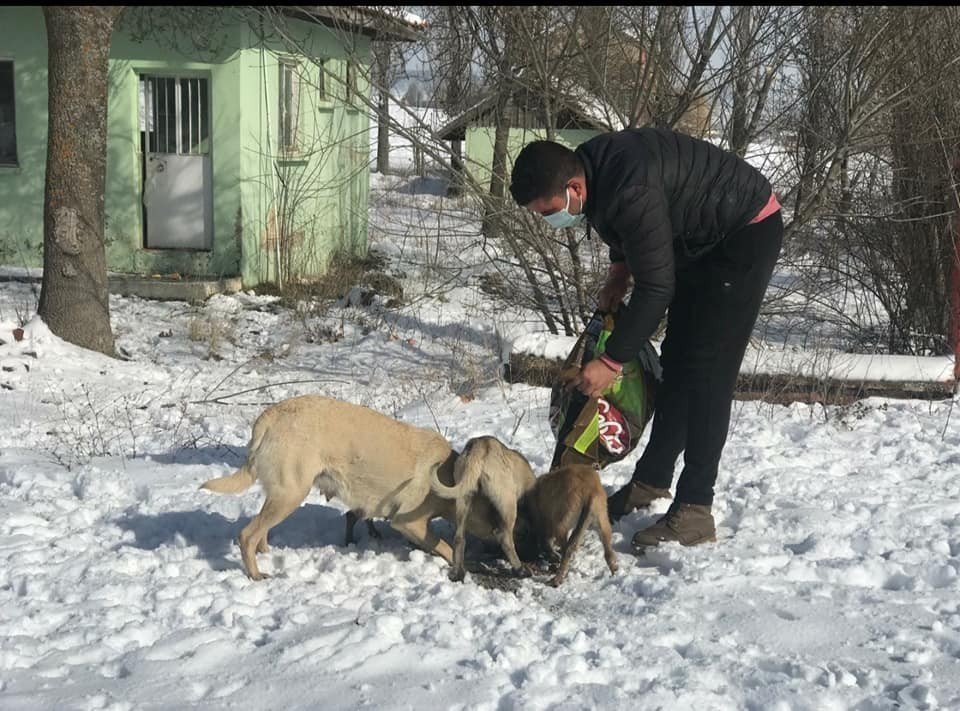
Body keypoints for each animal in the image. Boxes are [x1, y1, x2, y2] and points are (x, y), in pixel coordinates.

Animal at [199, 392, 462, 580]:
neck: (449, 474)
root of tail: (270, 416)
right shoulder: (408, 523)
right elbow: (446, 546)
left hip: (280, 495)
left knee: (260, 531)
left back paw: (266, 554)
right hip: (291, 495)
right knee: (247, 535)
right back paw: (255, 574)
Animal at [430, 436, 536, 580]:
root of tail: (480, 447)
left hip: (464, 497)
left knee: (459, 538)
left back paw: (458, 572)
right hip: (507, 503)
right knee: (505, 540)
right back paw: (520, 570)